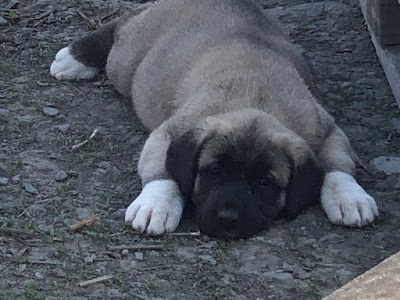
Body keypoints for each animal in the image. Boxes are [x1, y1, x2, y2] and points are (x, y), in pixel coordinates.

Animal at [50, 0, 378, 239]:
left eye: (265, 182)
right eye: (214, 172)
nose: (228, 218)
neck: (254, 100)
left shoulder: (326, 129)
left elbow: (337, 164)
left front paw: (350, 197)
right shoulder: (168, 133)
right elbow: (163, 170)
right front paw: (156, 204)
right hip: (127, 61)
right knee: (124, 22)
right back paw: (76, 57)